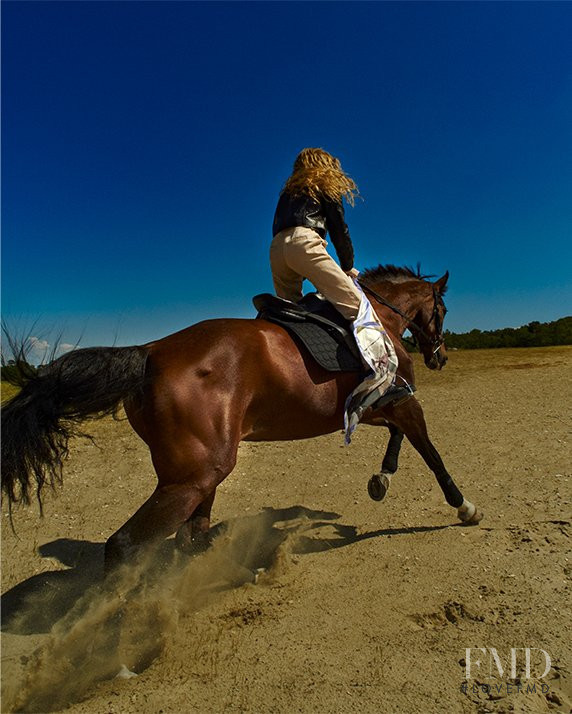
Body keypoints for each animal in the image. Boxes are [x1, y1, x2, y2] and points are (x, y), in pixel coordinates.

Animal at [0, 264, 482, 572]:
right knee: (124, 547)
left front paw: (381, 479)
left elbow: (399, 440)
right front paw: (463, 506)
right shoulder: (400, 403)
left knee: (189, 537)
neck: (377, 316)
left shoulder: (375, 407)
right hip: (195, 476)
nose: (440, 357)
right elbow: (432, 454)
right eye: (443, 311)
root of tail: (149, 352)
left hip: (199, 476)